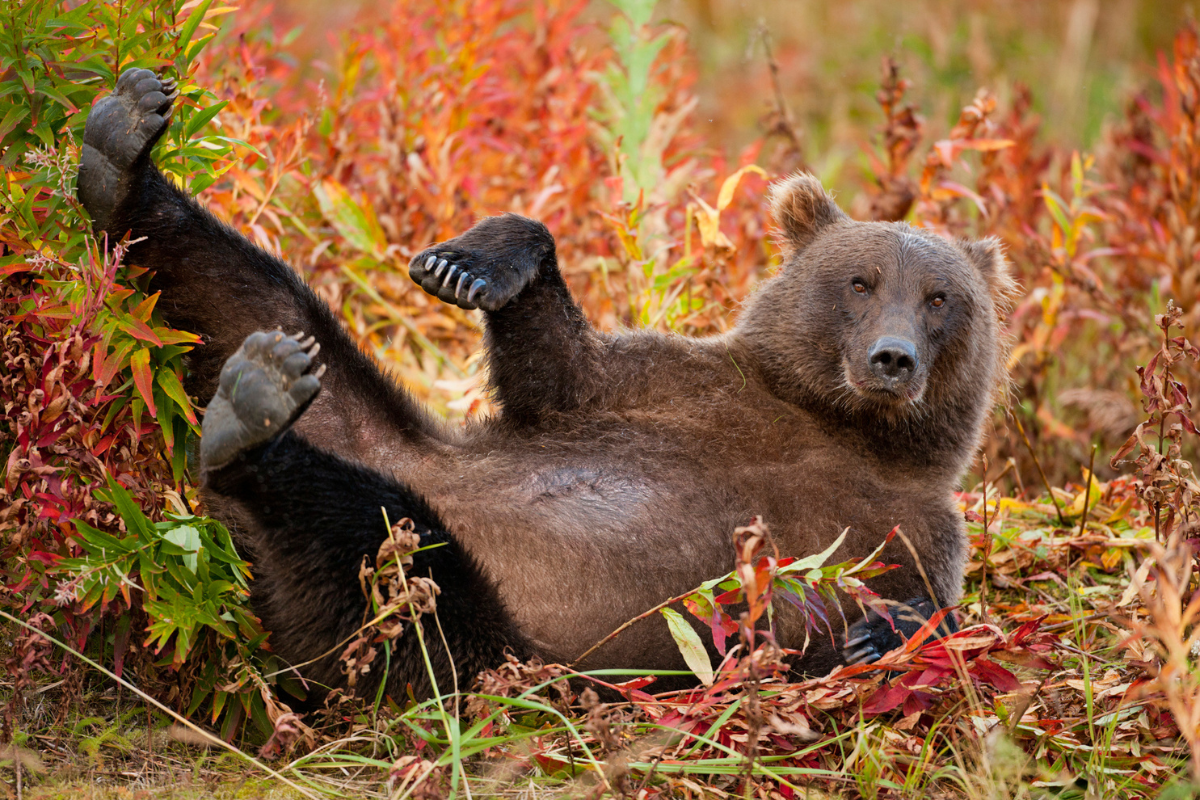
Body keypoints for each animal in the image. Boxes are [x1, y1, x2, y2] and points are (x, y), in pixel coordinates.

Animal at [76, 68, 1016, 700]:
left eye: (940, 298)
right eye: (860, 281)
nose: (892, 358)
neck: (832, 422)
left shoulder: (907, 526)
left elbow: (926, 608)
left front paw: (875, 632)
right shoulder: (681, 386)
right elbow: (561, 368)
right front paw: (473, 263)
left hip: (476, 632)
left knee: (365, 537)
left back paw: (250, 417)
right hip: (373, 432)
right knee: (246, 298)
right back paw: (123, 150)